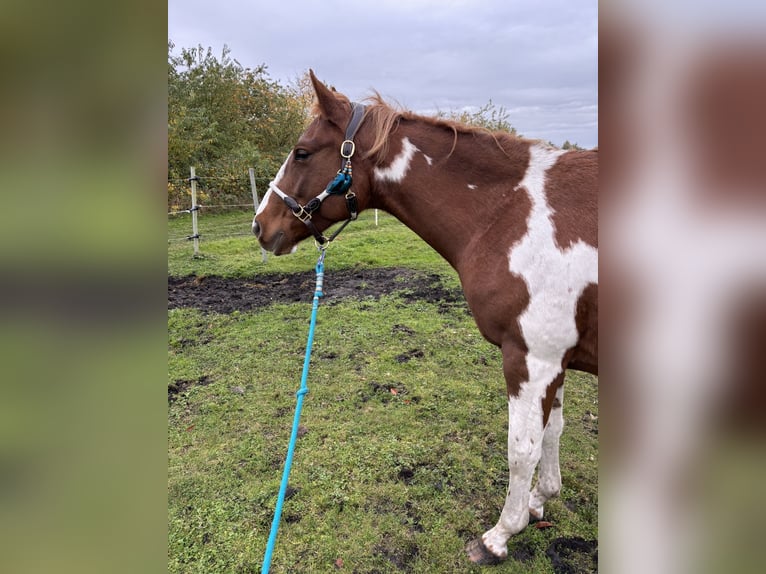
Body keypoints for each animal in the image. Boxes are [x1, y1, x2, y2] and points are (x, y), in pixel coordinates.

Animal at [252, 72, 600, 568]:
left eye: (302, 152)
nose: (261, 226)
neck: (510, 214)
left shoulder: (531, 359)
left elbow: (522, 449)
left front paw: (499, 536)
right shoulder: (556, 360)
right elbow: (552, 433)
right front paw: (539, 501)